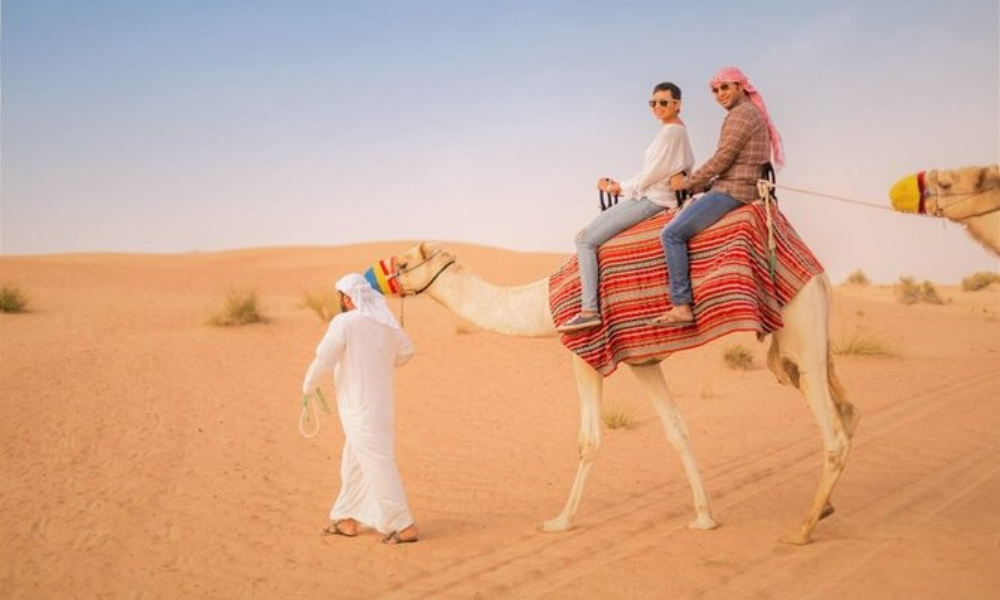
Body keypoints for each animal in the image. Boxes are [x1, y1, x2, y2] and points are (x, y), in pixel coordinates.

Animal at [390, 240, 860, 544]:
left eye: (402, 263)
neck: (542, 305)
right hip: (810, 342)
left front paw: (559, 521)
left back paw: (803, 528)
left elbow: (589, 440)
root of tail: (820, 276)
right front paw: (704, 517)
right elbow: (677, 430)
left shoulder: (584, 354)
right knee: (849, 409)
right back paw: (826, 507)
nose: (383, 275)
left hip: (800, 331)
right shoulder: (643, 361)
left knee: (833, 431)